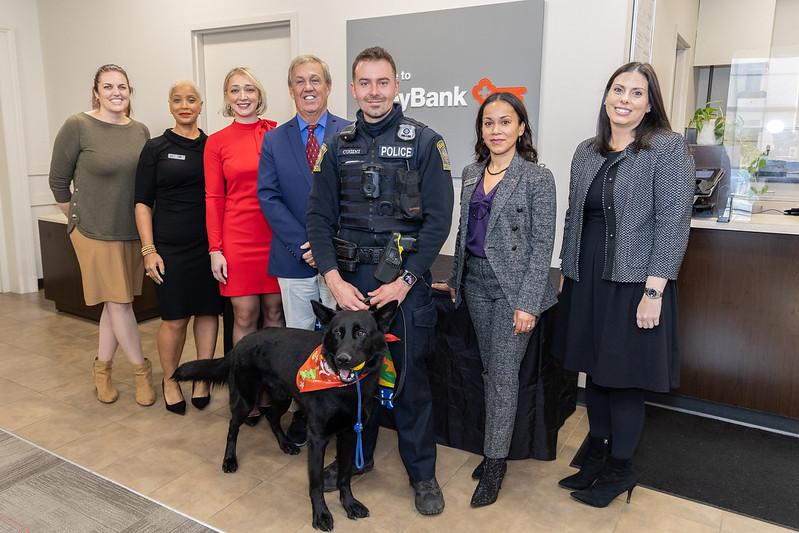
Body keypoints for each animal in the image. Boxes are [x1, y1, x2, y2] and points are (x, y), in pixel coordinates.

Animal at [176, 300, 400, 528]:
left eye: (361, 332)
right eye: (337, 332)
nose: (342, 359)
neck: (346, 387)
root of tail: (240, 343)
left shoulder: (350, 434)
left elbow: (344, 476)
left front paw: (349, 504)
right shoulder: (317, 438)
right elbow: (316, 483)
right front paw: (321, 514)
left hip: (282, 397)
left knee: (271, 417)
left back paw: (285, 444)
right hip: (246, 401)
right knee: (233, 426)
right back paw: (230, 459)